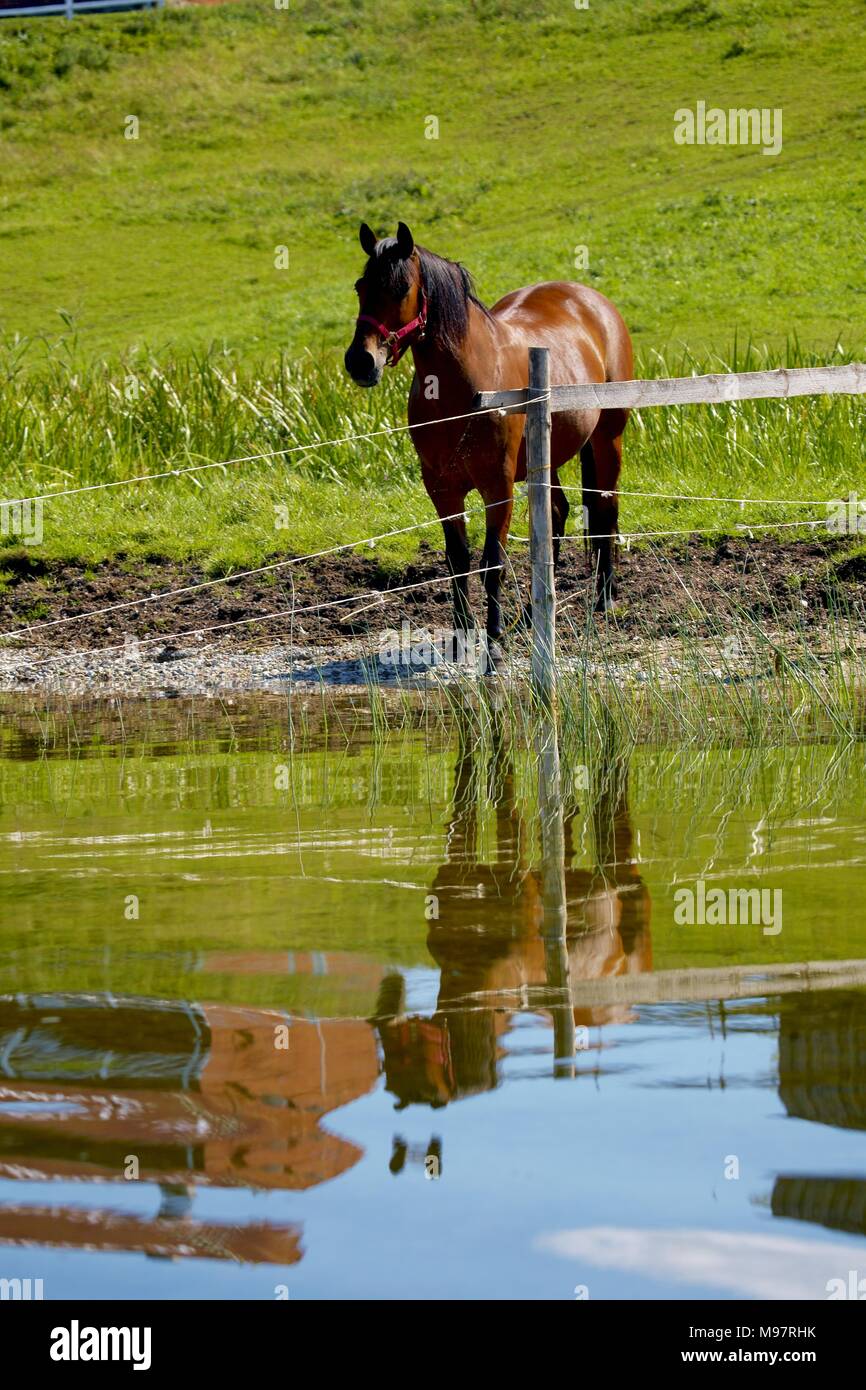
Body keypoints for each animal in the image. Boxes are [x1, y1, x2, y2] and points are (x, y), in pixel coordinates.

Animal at [346, 222, 636, 644]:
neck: (467, 389)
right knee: (557, 516)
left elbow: (492, 562)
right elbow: (458, 560)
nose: (360, 361)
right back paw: (533, 613)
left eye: (401, 288)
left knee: (604, 508)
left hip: (607, 439)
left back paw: (604, 598)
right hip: (547, 456)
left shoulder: (497, 488)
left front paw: (494, 634)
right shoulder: (442, 490)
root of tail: (593, 301)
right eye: (360, 286)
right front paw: (463, 632)